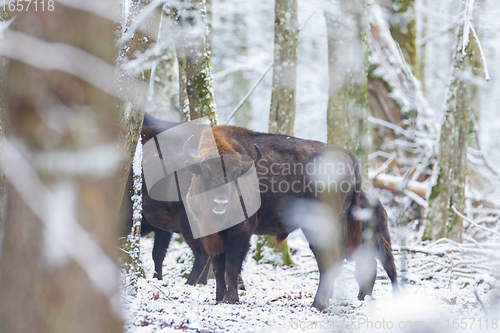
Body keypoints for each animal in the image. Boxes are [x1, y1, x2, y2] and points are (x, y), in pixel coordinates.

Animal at [184, 124, 398, 308]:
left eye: (236, 174)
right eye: (205, 172)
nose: (220, 203)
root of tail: (345, 154)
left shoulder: (241, 232)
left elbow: (232, 266)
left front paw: (231, 300)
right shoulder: (210, 234)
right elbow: (218, 267)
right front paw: (218, 299)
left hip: (320, 227)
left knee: (330, 259)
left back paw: (318, 304)